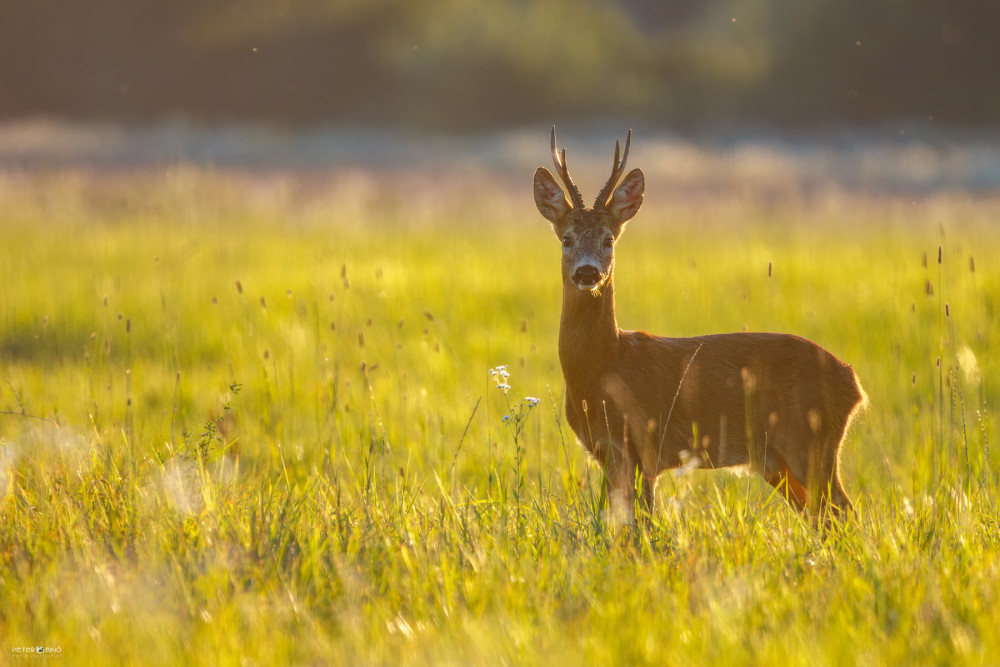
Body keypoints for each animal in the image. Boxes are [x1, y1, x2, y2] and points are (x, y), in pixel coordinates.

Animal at [532, 128, 868, 528]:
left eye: (609, 239)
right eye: (566, 238)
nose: (587, 272)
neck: (603, 368)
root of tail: (853, 383)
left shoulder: (644, 439)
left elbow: (643, 523)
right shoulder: (609, 452)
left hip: (811, 442)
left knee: (845, 512)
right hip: (778, 461)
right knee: (822, 518)